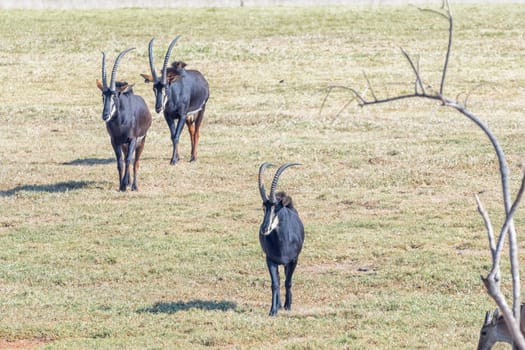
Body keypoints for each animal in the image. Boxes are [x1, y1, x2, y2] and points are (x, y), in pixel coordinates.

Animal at [95, 47, 151, 191]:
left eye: (114, 95)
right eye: (103, 95)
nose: (105, 115)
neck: (120, 123)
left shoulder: (132, 139)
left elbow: (129, 161)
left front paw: (126, 185)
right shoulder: (115, 141)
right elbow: (120, 162)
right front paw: (122, 185)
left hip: (141, 141)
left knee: (135, 161)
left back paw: (134, 185)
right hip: (124, 144)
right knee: (127, 159)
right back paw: (129, 182)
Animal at [143, 36, 211, 165]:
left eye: (166, 87)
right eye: (154, 88)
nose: (158, 107)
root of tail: (203, 79)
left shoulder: (182, 116)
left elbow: (176, 136)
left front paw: (174, 160)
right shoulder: (169, 116)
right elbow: (173, 135)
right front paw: (176, 157)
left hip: (200, 111)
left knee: (197, 133)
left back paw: (194, 157)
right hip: (189, 117)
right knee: (192, 131)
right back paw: (191, 154)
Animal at [256, 163, 302, 316]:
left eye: (276, 207)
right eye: (264, 207)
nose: (264, 229)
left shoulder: (293, 260)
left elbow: (288, 282)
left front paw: (288, 306)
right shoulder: (270, 260)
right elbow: (275, 284)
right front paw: (273, 310)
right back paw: (279, 304)